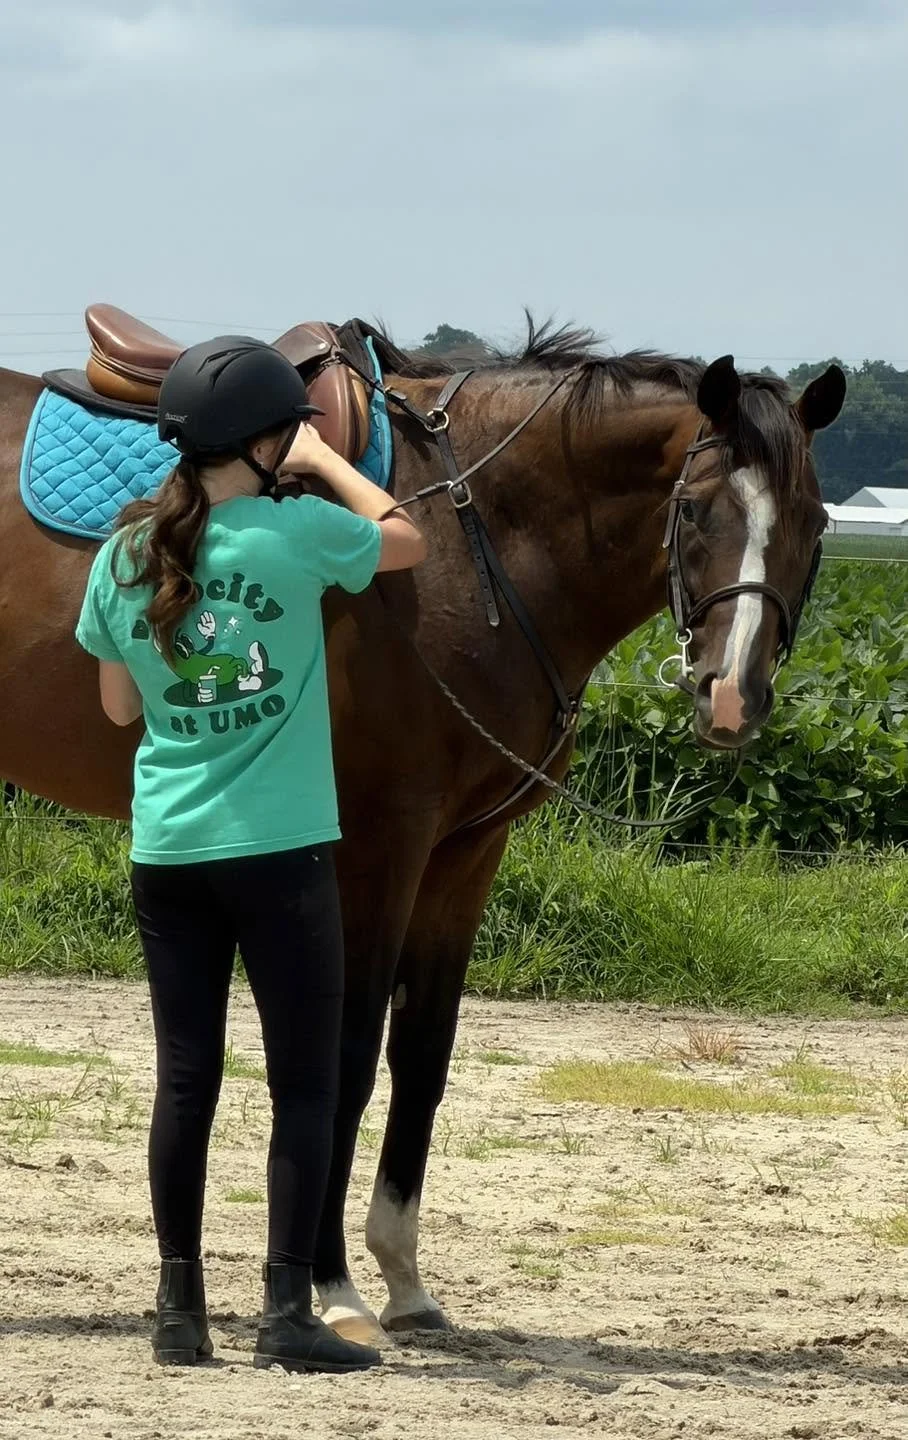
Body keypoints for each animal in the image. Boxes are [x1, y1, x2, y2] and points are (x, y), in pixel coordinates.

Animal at [0, 320, 845, 1340]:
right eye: (698, 507)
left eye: (815, 522)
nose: (731, 700)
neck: (469, 539)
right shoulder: (382, 845)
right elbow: (348, 1056)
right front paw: (332, 1286)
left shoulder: (464, 852)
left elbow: (423, 1055)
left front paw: (403, 1277)